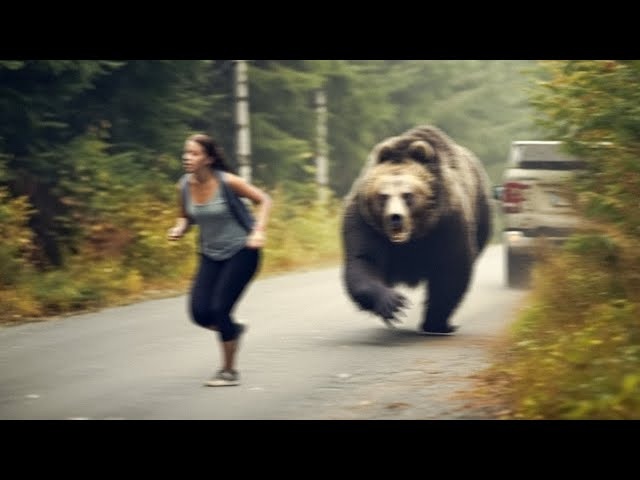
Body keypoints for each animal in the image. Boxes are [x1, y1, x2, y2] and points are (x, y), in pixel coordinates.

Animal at [341, 125, 492, 335]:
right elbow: (364, 260)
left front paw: (437, 323)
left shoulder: (446, 223)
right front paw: (392, 303)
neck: (411, 240)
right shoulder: (366, 223)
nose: (395, 217)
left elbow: (450, 270)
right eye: (383, 195)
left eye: (407, 195)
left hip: (481, 211)